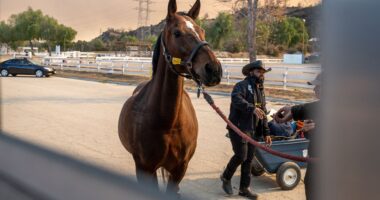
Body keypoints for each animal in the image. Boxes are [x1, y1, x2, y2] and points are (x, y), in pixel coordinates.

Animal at [119, 0, 223, 195]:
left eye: (202, 31)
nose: (214, 69)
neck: (168, 122)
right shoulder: (145, 168)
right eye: (177, 33)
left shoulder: (179, 169)